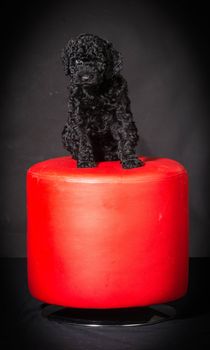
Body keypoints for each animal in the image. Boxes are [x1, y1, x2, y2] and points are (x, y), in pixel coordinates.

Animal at [60, 33, 144, 169]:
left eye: (99, 61)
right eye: (77, 61)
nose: (85, 77)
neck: (94, 92)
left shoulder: (121, 112)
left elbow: (125, 134)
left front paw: (130, 159)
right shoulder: (78, 116)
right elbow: (82, 138)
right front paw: (85, 160)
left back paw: (113, 155)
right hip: (67, 130)